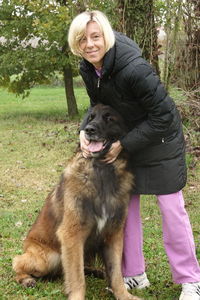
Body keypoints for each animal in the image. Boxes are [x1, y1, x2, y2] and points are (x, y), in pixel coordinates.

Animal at [12, 104, 142, 300]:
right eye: (90, 118)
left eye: (109, 118)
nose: (88, 130)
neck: (102, 173)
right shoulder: (72, 235)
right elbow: (77, 278)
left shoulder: (113, 234)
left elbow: (116, 273)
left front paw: (124, 295)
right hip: (48, 258)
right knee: (17, 262)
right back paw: (26, 279)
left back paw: (95, 271)